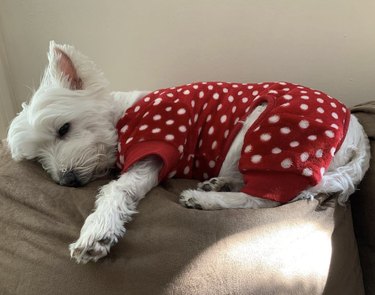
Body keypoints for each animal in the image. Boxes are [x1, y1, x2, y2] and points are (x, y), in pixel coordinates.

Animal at [6, 41, 374, 264]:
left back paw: (204, 198)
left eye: (63, 129)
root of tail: (358, 136)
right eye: (38, 159)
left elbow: (116, 189)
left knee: (267, 198)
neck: (122, 117)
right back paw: (218, 184)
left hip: (270, 134)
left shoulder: (157, 149)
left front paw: (97, 232)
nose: (67, 181)